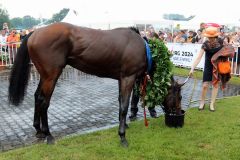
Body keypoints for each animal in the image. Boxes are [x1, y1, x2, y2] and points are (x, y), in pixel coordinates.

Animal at [8, 21, 146, 147]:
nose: (134, 114)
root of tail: (36, 32)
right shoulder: (128, 78)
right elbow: (124, 106)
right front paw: (122, 136)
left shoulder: (121, 78)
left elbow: (120, 101)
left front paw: (124, 125)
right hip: (51, 76)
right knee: (44, 102)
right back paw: (49, 135)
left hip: (44, 76)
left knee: (37, 96)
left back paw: (38, 130)